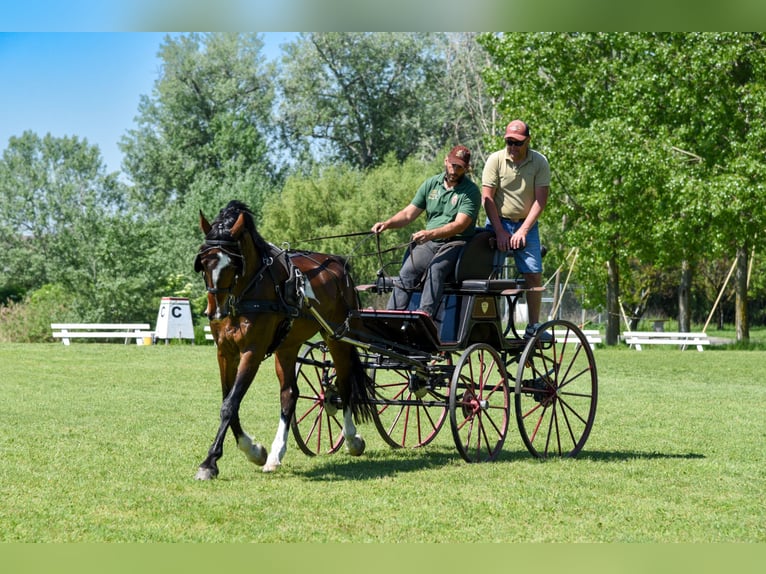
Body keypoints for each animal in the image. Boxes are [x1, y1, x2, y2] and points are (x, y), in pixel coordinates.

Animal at [193, 200, 375, 478]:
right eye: (202, 262)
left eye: (232, 264)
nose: (214, 312)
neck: (246, 292)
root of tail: (338, 264)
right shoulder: (225, 352)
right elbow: (228, 401)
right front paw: (255, 451)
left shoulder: (252, 351)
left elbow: (230, 404)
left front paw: (210, 462)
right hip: (287, 345)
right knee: (289, 394)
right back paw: (276, 454)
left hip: (337, 338)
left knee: (344, 384)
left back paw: (352, 439)